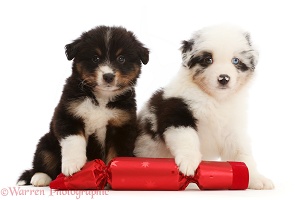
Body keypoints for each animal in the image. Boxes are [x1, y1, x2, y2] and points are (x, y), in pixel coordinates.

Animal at [16, 25, 149, 187]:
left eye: (121, 58)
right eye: (95, 58)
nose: (108, 76)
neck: (101, 99)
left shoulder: (121, 126)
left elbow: (117, 154)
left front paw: (112, 176)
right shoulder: (68, 114)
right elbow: (74, 140)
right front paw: (73, 165)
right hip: (46, 143)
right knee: (44, 160)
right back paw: (40, 177)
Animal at [134, 24, 274, 189]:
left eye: (235, 60)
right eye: (208, 59)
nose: (224, 78)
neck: (215, 100)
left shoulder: (232, 129)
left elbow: (242, 153)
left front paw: (255, 177)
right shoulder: (177, 113)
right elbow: (187, 138)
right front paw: (188, 162)